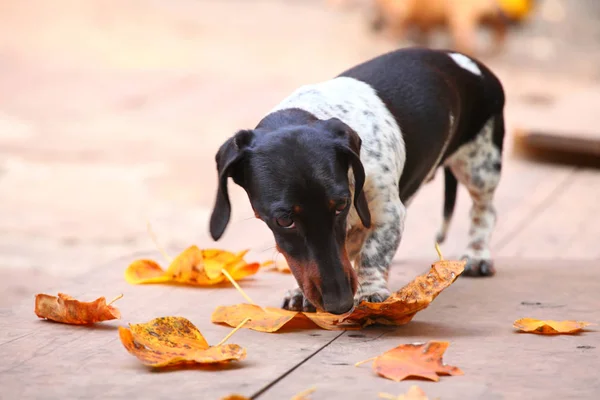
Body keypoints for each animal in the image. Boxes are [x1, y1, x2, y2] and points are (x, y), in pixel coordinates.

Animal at [209, 47, 504, 316]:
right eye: (283, 220)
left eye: (341, 204)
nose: (339, 304)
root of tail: (461, 58)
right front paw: (299, 292)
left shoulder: (388, 212)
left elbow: (374, 252)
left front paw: (370, 291)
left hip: (480, 167)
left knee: (485, 211)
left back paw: (476, 255)